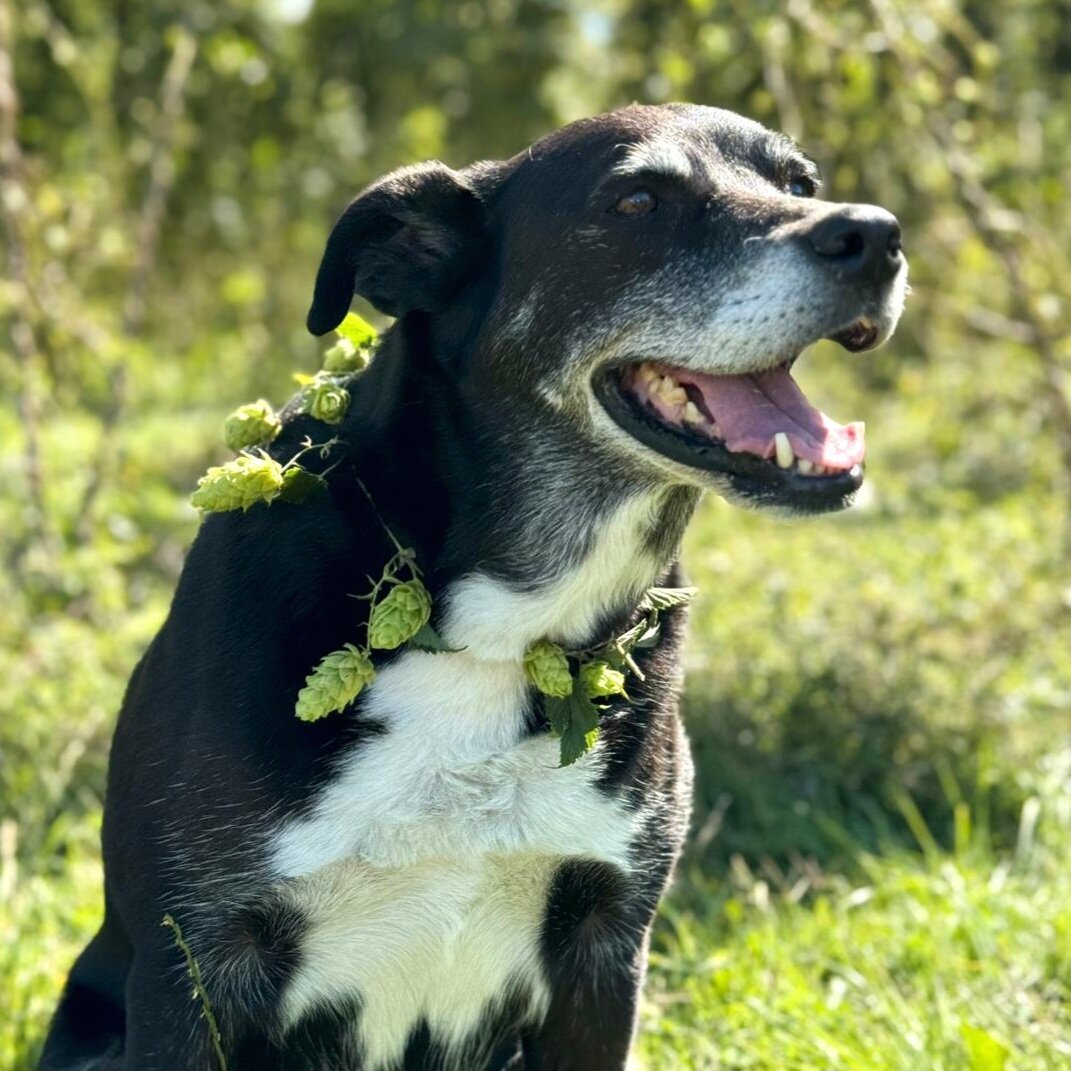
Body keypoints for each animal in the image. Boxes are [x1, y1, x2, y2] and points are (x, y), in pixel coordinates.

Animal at [41, 102, 903, 1071]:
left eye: (800, 182)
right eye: (637, 201)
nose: (876, 237)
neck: (492, 630)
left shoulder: (602, 955)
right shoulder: (192, 966)